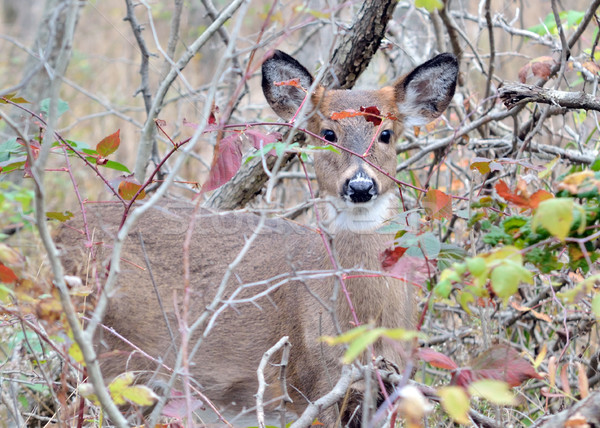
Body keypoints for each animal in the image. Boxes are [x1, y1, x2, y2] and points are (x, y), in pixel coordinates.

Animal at [57, 48, 460, 426]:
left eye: (387, 134)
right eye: (328, 134)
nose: (360, 186)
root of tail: (65, 231)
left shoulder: (387, 386)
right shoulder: (316, 379)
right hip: (110, 349)